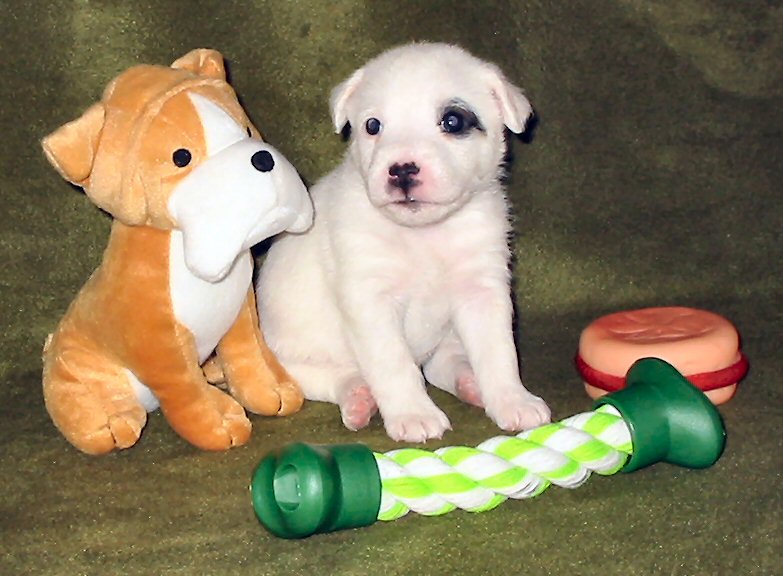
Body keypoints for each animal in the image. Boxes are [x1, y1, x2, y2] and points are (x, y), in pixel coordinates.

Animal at [257, 43, 550, 442]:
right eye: (372, 126)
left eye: (453, 121)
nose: (401, 170)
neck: (423, 235)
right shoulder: (370, 300)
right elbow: (392, 362)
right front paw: (413, 413)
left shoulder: (483, 292)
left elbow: (499, 354)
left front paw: (513, 400)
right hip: (288, 361)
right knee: (330, 377)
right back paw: (359, 397)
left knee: (444, 363)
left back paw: (470, 382)